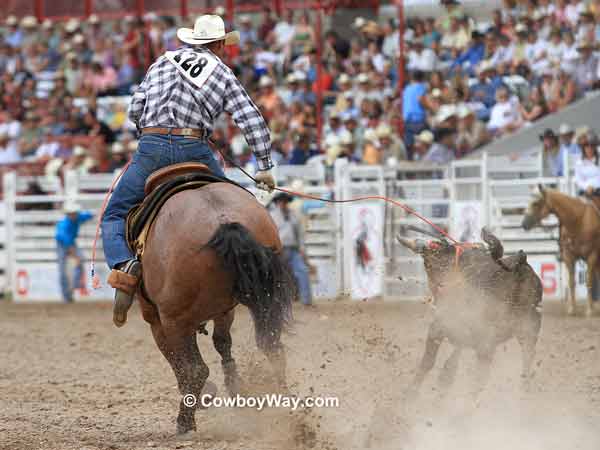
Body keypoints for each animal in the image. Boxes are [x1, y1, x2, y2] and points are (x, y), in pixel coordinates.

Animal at [135, 183, 296, 436]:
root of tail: (223, 220)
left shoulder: (156, 319)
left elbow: (177, 360)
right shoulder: (224, 310)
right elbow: (222, 342)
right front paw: (237, 389)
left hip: (173, 318)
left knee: (195, 369)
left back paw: (185, 421)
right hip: (265, 302)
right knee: (273, 348)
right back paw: (284, 404)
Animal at [520, 183, 600, 316]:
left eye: (536, 203)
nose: (524, 224)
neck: (579, 220)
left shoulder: (592, 255)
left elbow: (589, 281)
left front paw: (589, 310)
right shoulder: (569, 256)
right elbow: (572, 282)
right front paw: (572, 309)